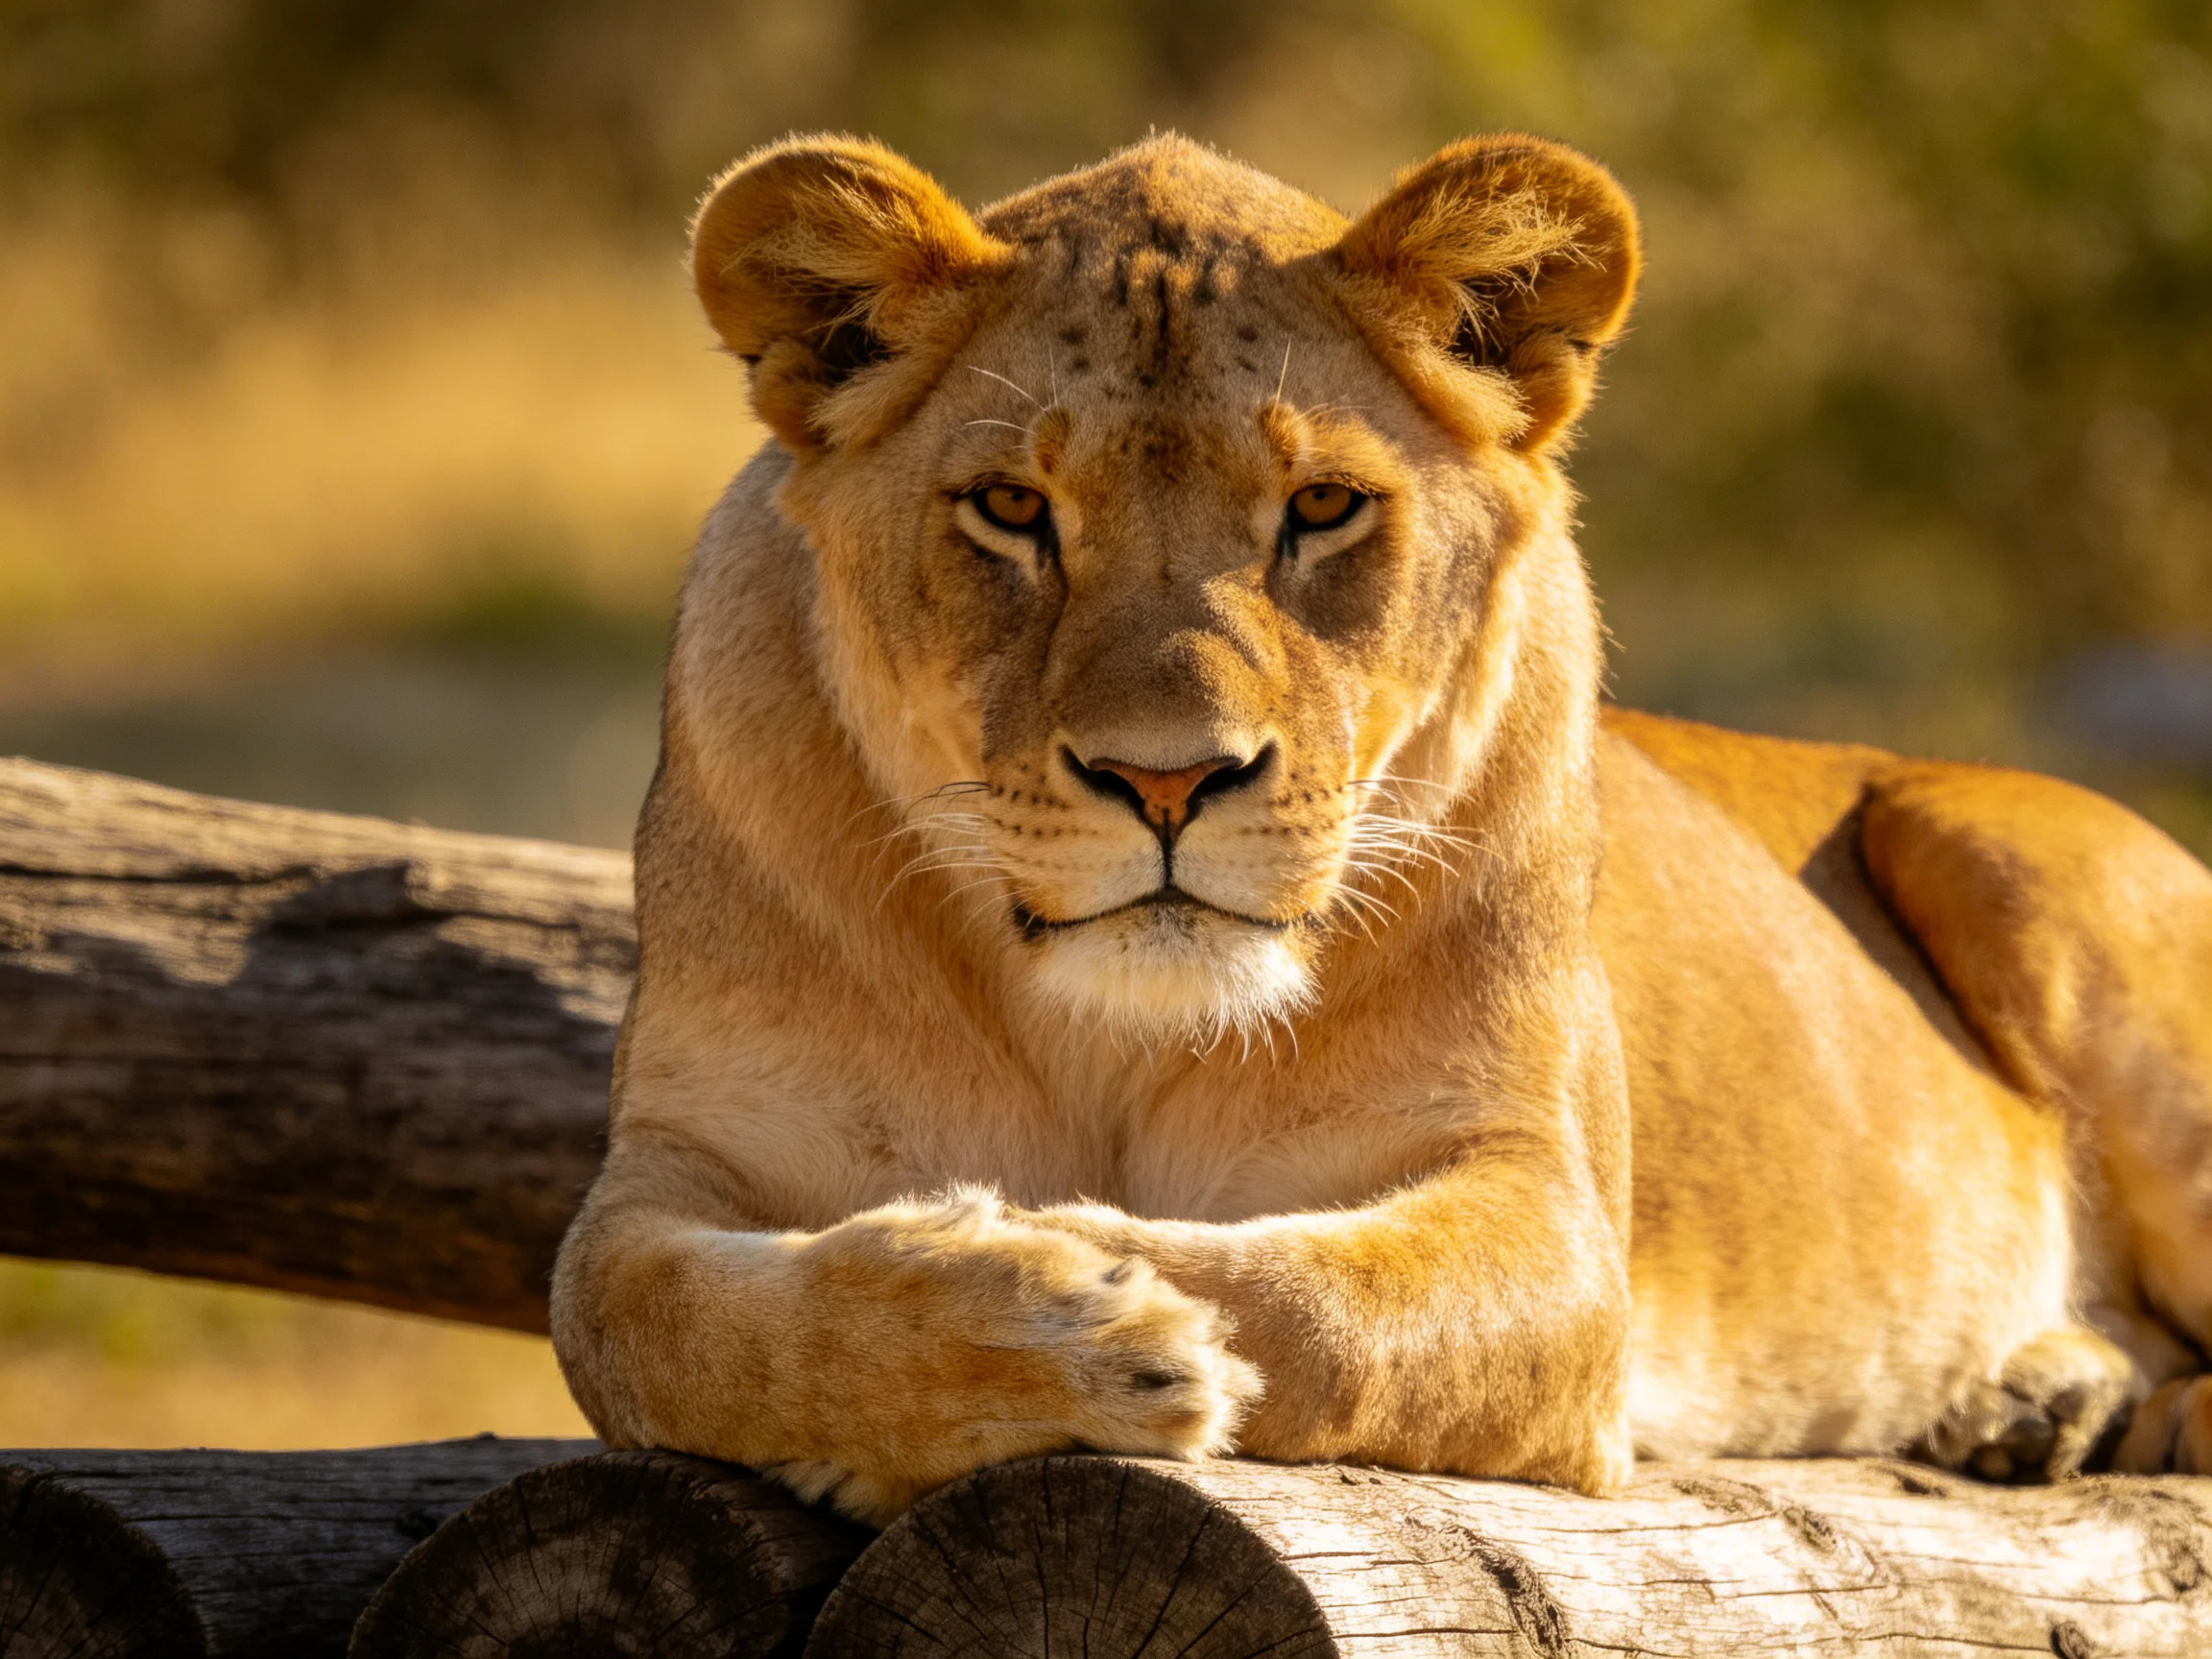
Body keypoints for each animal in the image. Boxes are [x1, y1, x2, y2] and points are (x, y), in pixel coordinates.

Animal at [549, 131, 2212, 1526]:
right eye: (1013, 509)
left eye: (1324, 509)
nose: (1168, 782)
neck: (1107, 1033)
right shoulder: (671, 1168)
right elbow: (656, 1323)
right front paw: (1019, 1323)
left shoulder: (1547, 1212)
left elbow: (1323, 1301)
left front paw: (1100, 1316)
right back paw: (2033, 1402)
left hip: (2014, 861)